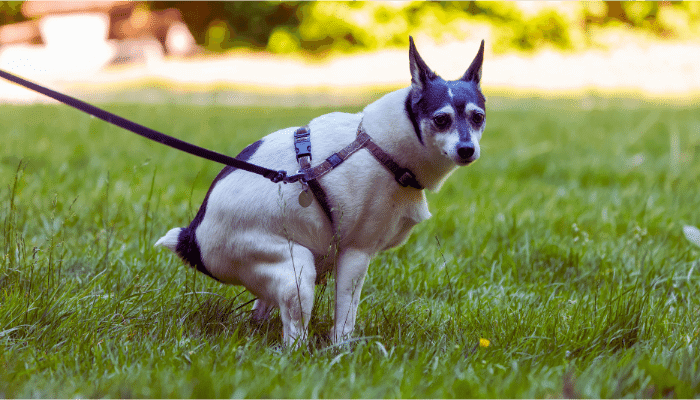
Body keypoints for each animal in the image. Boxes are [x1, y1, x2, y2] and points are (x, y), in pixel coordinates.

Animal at [155, 37, 484, 348]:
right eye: (441, 120)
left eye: (478, 117)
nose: (467, 149)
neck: (379, 145)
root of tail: (191, 238)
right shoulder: (355, 255)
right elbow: (345, 317)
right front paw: (342, 349)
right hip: (296, 271)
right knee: (293, 337)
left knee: (261, 312)